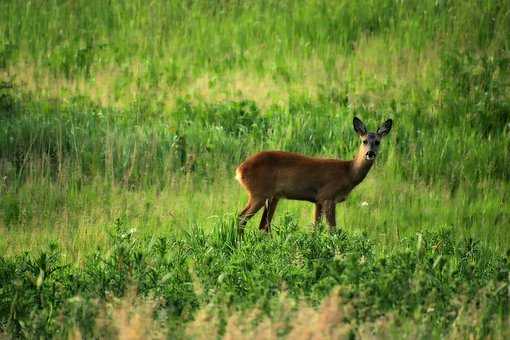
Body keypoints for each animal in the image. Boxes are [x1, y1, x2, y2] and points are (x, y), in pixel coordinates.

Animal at [236, 117, 394, 234]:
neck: (348, 172)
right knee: (241, 218)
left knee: (263, 225)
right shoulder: (328, 196)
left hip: (272, 196)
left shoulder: (318, 200)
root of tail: (239, 170)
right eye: (364, 141)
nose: (370, 153)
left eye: (377, 142)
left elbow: (316, 227)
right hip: (259, 193)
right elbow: (332, 229)